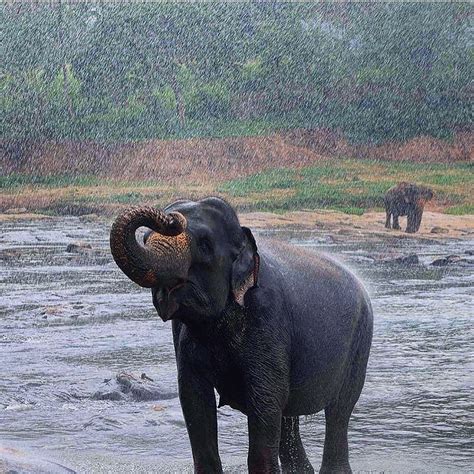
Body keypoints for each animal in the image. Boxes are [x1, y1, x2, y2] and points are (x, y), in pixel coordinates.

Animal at [109, 198, 372, 472]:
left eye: (204, 245)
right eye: (145, 238)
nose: (172, 218)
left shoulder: (267, 317)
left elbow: (265, 400)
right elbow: (194, 399)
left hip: (360, 344)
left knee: (340, 410)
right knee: (289, 418)